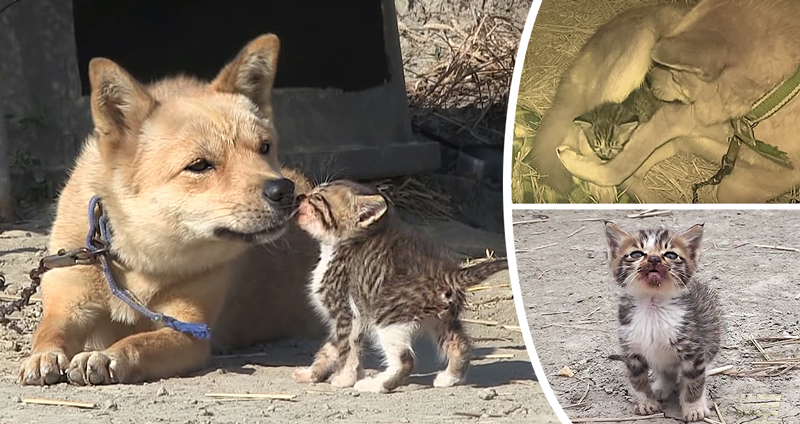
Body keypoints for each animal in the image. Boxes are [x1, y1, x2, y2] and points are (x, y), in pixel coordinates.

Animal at [19, 34, 318, 384]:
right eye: (199, 165)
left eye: (265, 147)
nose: (284, 191)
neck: (135, 260)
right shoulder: (69, 303)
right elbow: (49, 331)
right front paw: (43, 356)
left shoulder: (188, 330)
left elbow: (138, 342)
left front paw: (106, 355)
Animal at [292, 181, 506, 392]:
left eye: (318, 197)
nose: (299, 196)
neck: (342, 245)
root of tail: (446, 271)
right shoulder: (346, 321)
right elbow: (330, 349)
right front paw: (311, 373)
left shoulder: (347, 314)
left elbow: (347, 350)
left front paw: (345, 379)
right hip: (441, 319)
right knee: (460, 345)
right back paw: (450, 378)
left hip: (387, 317)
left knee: (405, 361)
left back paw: (375, 384)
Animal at [604, 222, 720, 420]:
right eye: (637, 254)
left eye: (671, 255)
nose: (654, 259)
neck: (653, 305)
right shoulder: (631, 348)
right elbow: (637, 379)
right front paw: (645, 402)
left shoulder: (693, 349)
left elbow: (695, 379)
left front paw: (694, 407)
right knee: (667, 372)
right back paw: (661, 387)